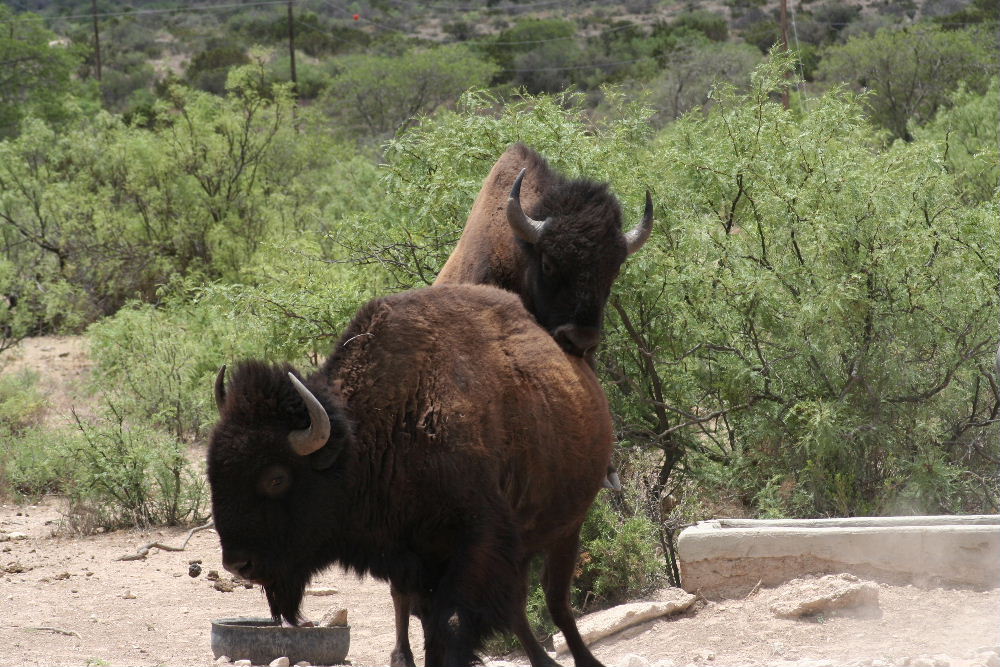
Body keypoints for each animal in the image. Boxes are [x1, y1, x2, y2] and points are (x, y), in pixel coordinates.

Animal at [208, 284, 613, 667]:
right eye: (214, 472)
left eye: (276, 478)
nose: (238, 564)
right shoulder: (411, 559)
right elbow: (429, 620)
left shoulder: (477, 542)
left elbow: (451, 622)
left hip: (567, 528)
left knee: (555, 599)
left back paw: (584, 660)